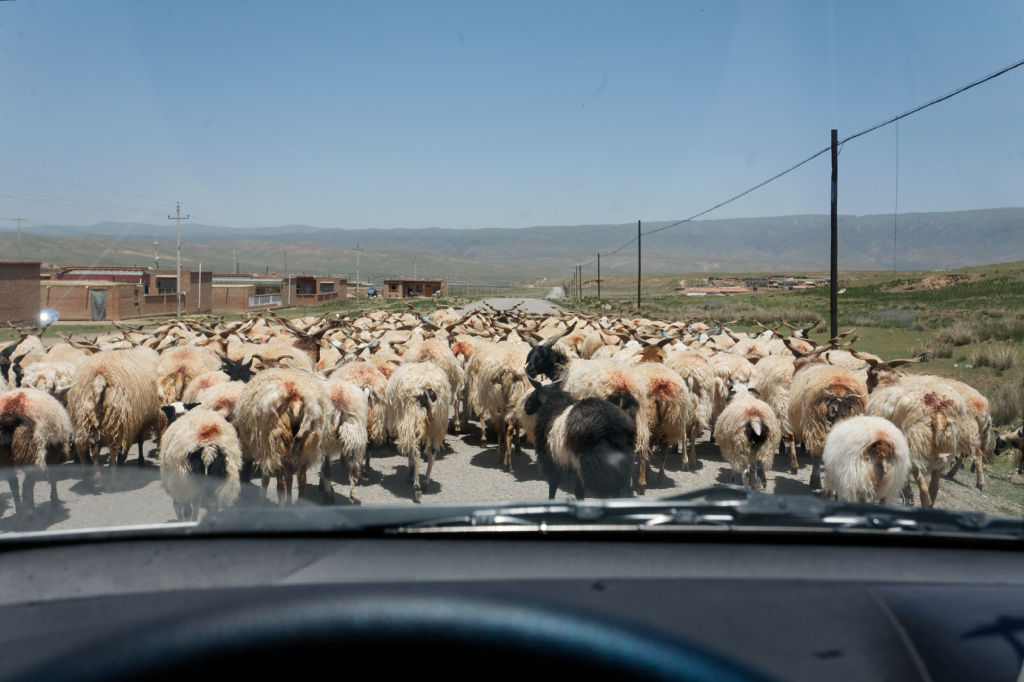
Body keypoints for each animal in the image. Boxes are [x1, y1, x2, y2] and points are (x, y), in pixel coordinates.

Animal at [233, 366, 329, 503]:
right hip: (306, 445)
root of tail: (295, 401)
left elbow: (266, 479)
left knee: (280, 485)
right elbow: (289, 478)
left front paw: (262, 499)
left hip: (276, 444)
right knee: (301, 480)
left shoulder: (265, 449)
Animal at [385, 360, 452, 499]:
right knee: (432, 453)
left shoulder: (408, 426)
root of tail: (427, 388)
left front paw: (410, 474)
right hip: (437, 424)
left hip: (413, 418)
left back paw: (417, 487)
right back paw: (425, 482)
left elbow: (411, 453)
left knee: (416, 453)